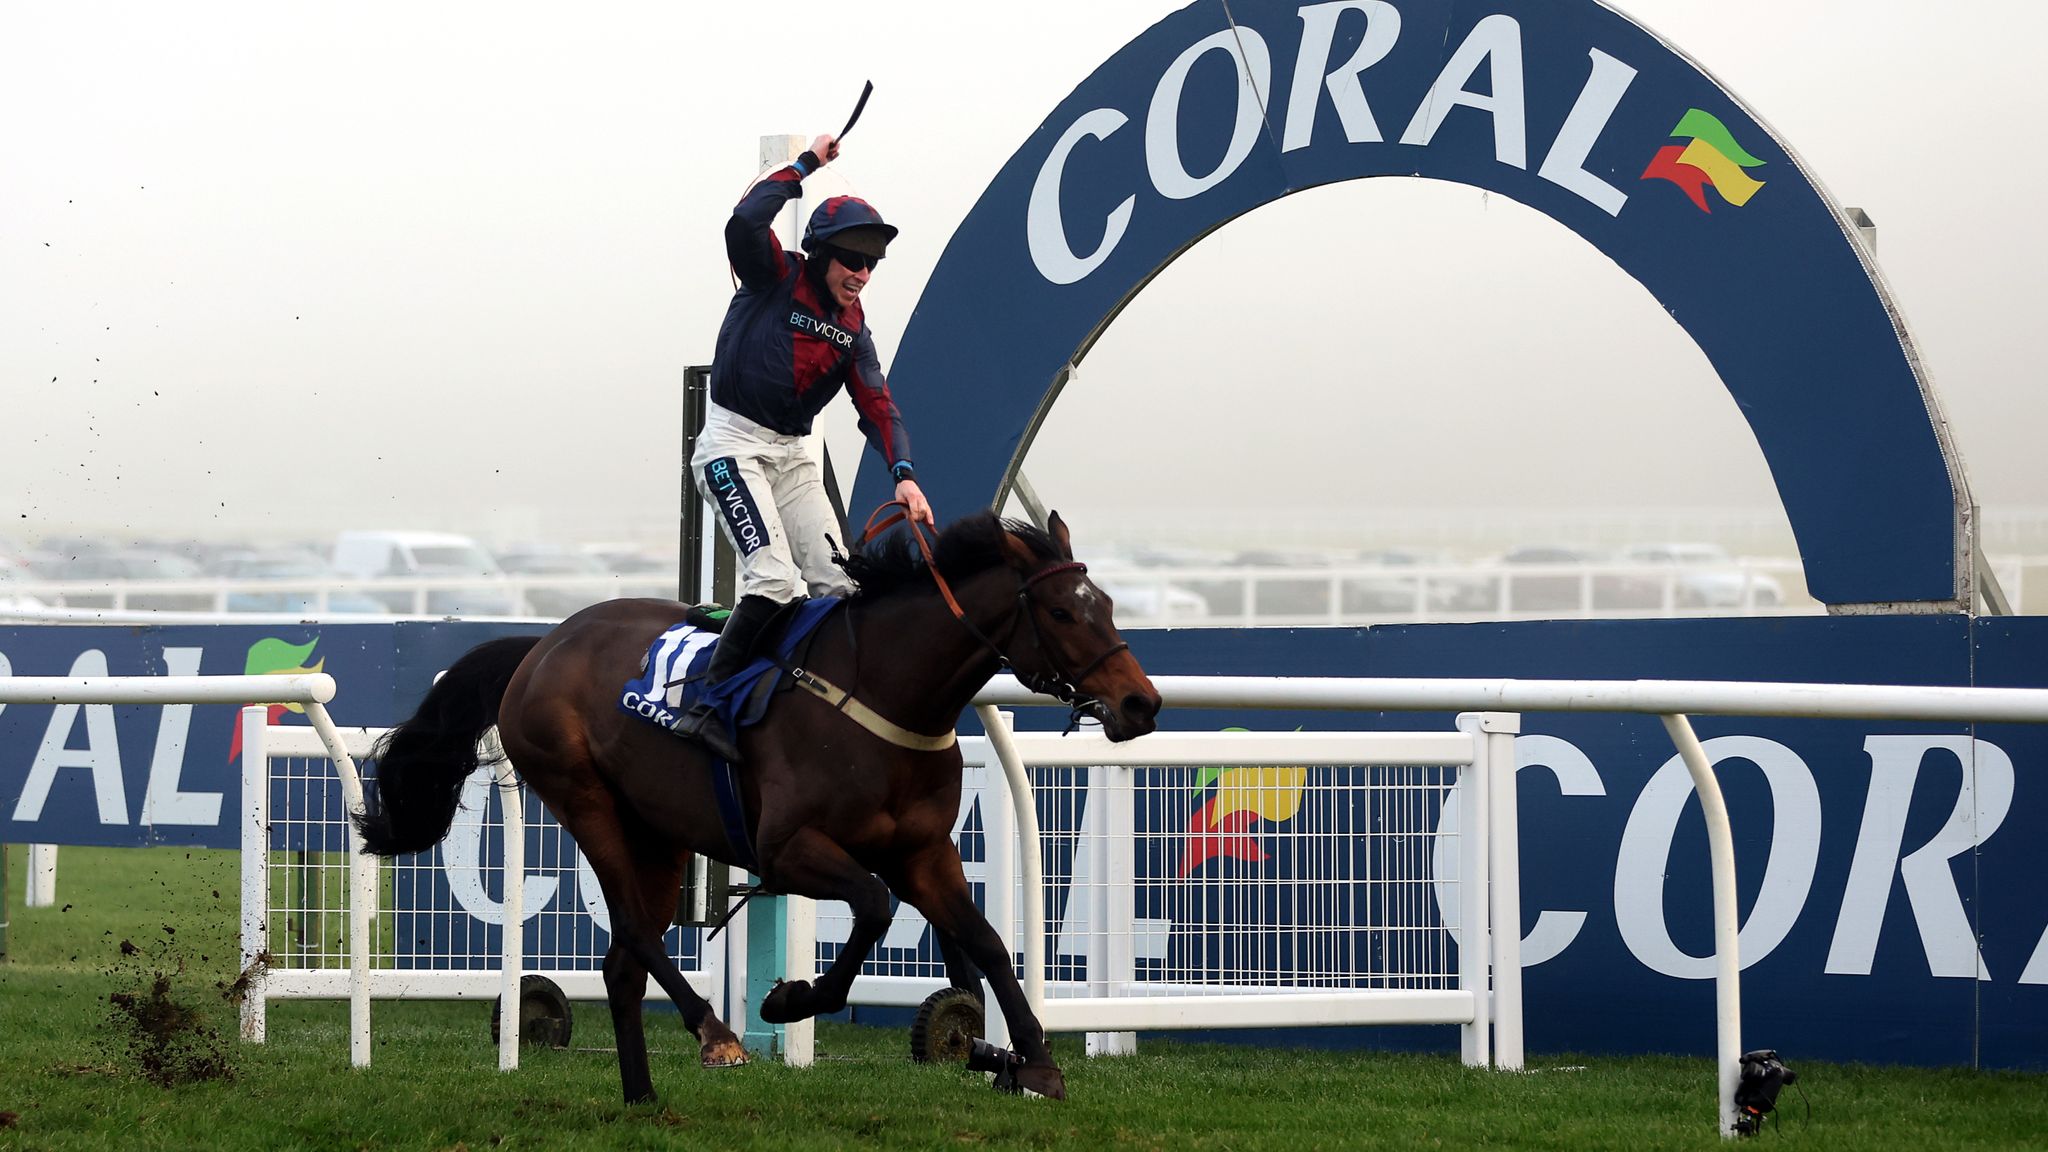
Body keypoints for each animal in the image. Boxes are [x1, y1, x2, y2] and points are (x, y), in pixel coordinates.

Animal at [352, 508, 1155, 1090]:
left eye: (1110, 605)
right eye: (1062, 613)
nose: (1140, 703)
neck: (883, 694)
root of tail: (542, 644)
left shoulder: (924, 851)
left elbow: (985, 942)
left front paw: (1033, 1059)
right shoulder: (788, 849)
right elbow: (872, 905)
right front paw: (788, 999)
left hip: (659, 830)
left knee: (622, 961)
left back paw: (643, 1097)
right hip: (584, 797)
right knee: (635, 932)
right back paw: (716, 1033)